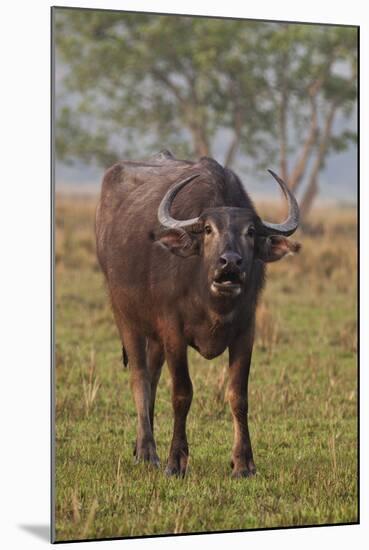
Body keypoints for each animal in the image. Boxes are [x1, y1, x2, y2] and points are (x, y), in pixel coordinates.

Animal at [95, 150, 300, 478]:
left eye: (251, 231)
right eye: (207, 229)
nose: (230, 263)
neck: (212, 301)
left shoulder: (245, 332)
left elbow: (238, 395)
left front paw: (243, 462)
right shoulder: (173, 331)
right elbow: (182, 393)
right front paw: (176, 461)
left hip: (155, 334)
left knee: (152, 377)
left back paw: (140, 446)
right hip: (124, 314)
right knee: (139, 377)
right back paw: (149, 452)